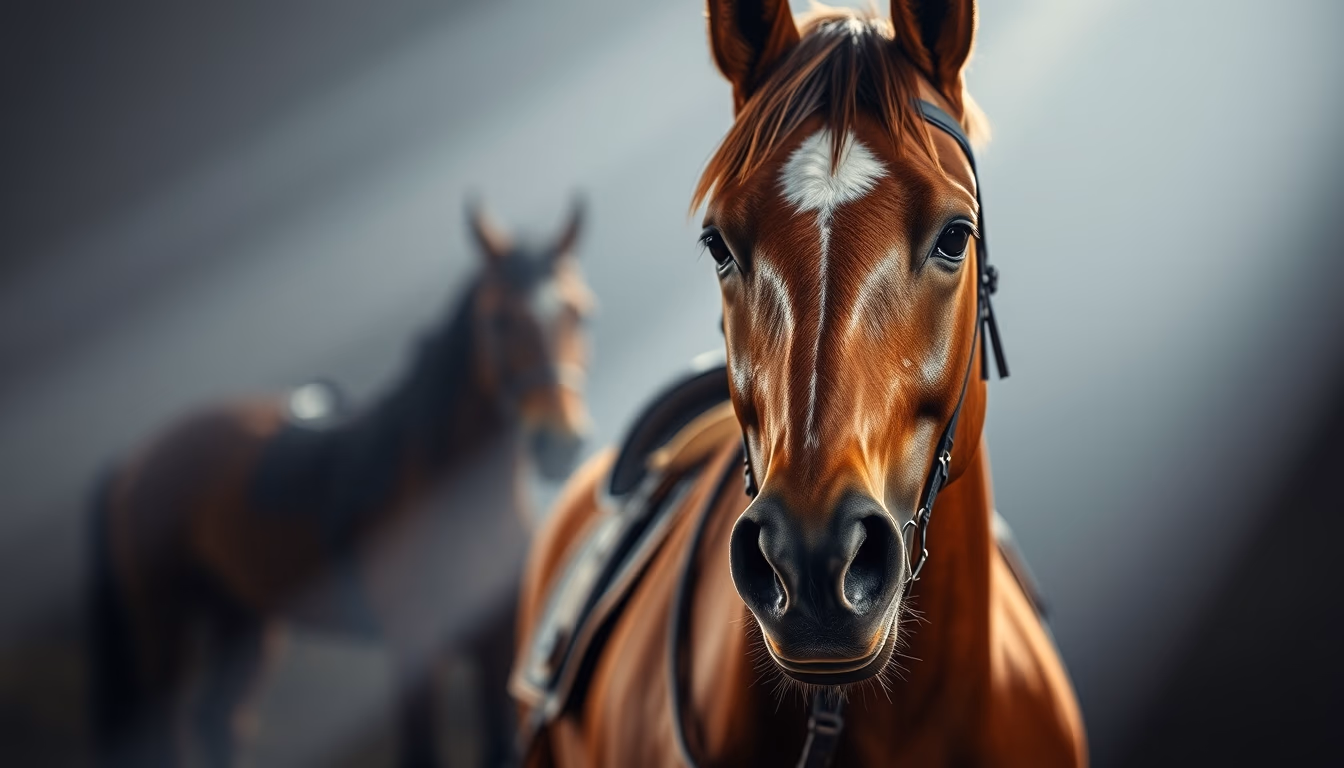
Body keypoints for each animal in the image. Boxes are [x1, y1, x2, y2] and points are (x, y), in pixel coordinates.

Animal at [89, 199, 595, 768]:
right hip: (164, 629)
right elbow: (420, 752)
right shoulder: (414, 649)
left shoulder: (495, 648)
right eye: (500, 320)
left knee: (218, 720)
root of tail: (135, 460)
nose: (560, 442)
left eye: (580, 314)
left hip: (242, 620)